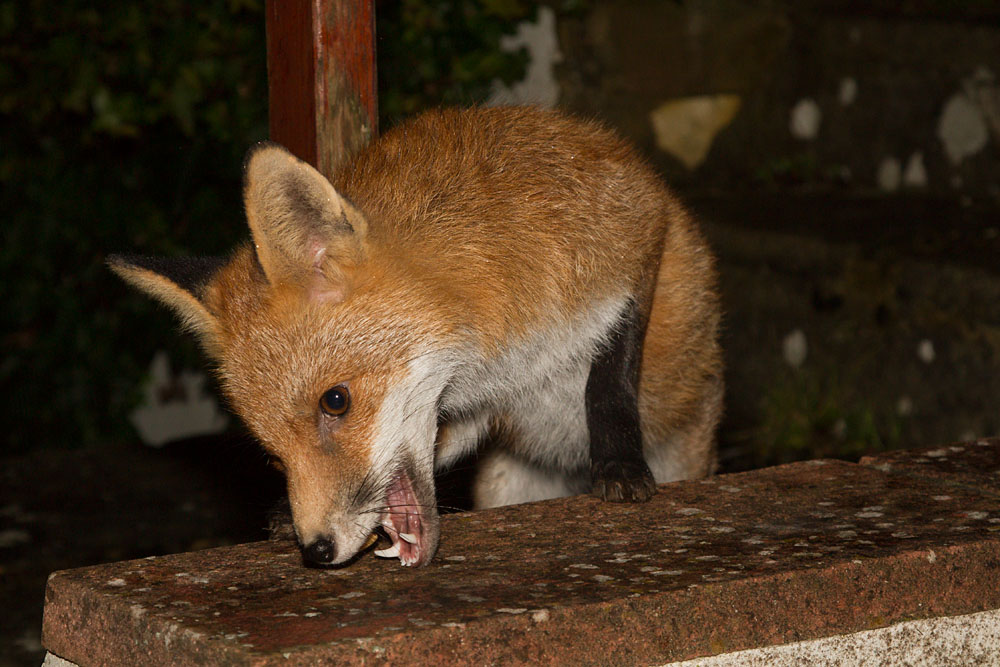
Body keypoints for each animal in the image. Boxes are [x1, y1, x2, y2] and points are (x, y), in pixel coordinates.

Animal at [110, 106, 722, 568]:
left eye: (336, 401)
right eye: (271, 452)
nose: (317, 550)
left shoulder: (637, 231)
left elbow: (612, 374)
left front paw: (619, 465)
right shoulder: (477, 407)